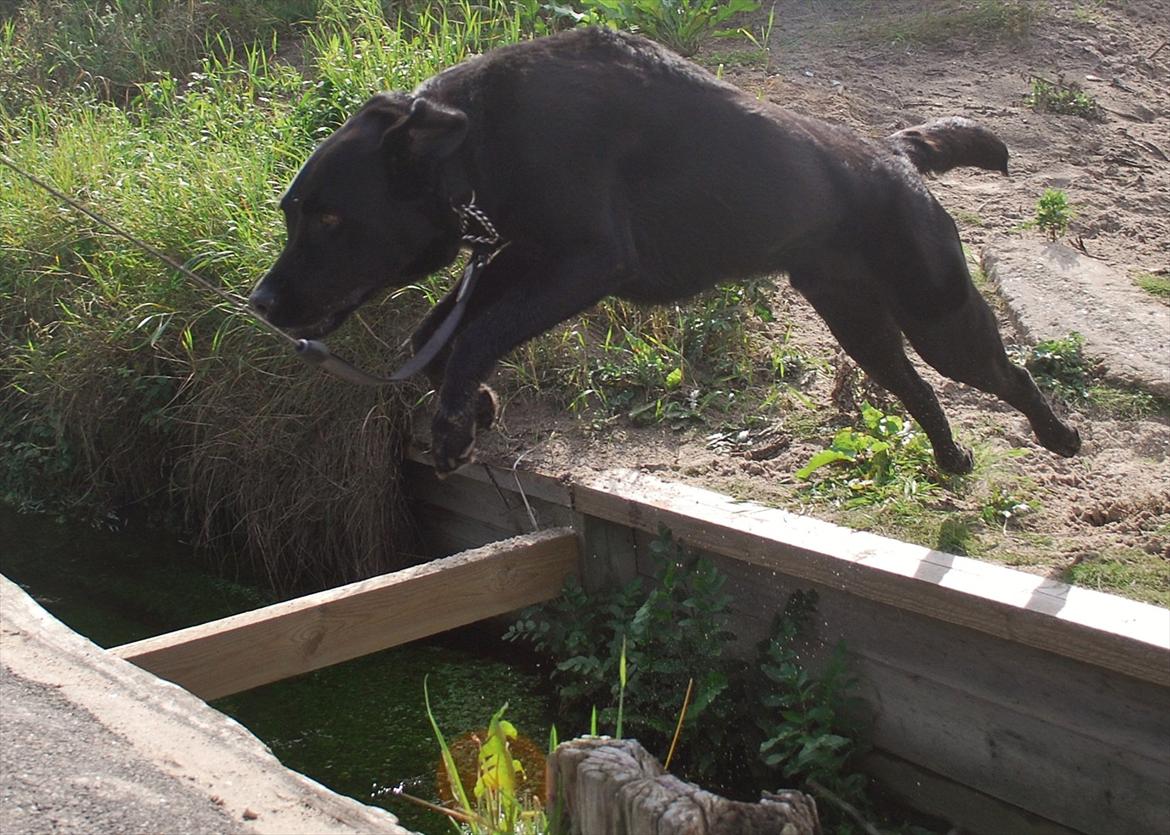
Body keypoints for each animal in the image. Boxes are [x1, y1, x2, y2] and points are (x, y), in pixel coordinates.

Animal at [251, 27, 1081, 474]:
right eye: (293, 213)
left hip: (938, 313)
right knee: (916, 390)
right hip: (862, 326)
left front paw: (453, 423)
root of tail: (893, 151)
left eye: (329, 218)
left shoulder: (586, 260)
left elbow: (475, 334)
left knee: (1007, 373)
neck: (478, 136)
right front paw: (473, 404)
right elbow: (434, 336)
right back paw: (951, 459)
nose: (259, 302)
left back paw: (1060, 435)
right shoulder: (522, 254)